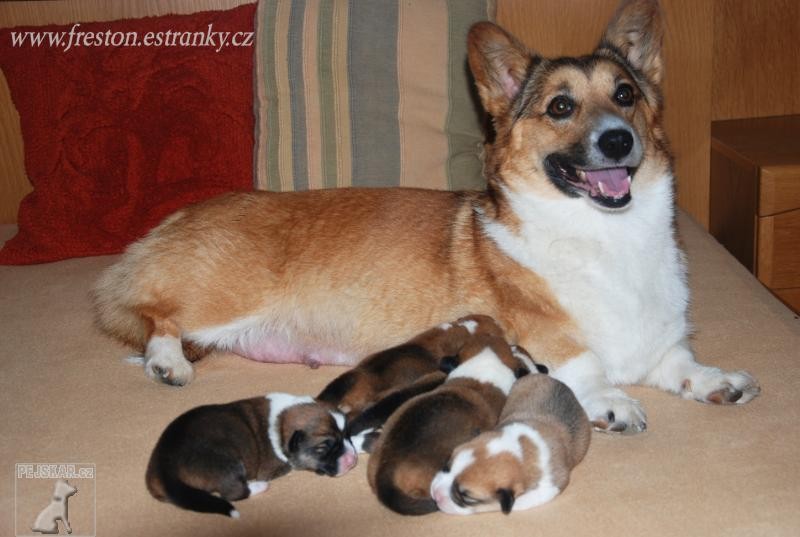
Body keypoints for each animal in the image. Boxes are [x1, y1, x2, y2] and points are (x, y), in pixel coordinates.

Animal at [145, 392, 356, 516]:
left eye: (347, 434)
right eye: (323, 447)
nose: (353, 459)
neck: (280, 423)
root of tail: (165, 469)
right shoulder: (274, 467)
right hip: (228, 463)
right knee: (234, 492)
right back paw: (258, 486)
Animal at [428, 372, 592, 516]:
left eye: (467, 498)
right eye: (446, 466)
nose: (435, 495)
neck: (520, 450)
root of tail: (558, 381)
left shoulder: (548, 488)